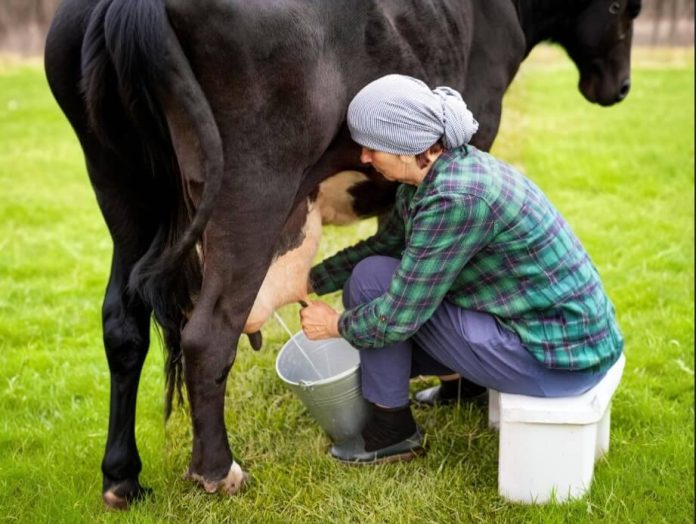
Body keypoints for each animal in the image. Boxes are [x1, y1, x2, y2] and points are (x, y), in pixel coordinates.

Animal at [43, 0, 640, 508]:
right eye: (624, 9)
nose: (620, 88)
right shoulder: (479, 134)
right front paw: (461, 390)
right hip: (251, 188)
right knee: (208, 334)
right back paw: (218, 472)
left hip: (122, 191)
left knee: (123, 324)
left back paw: (123, 479)